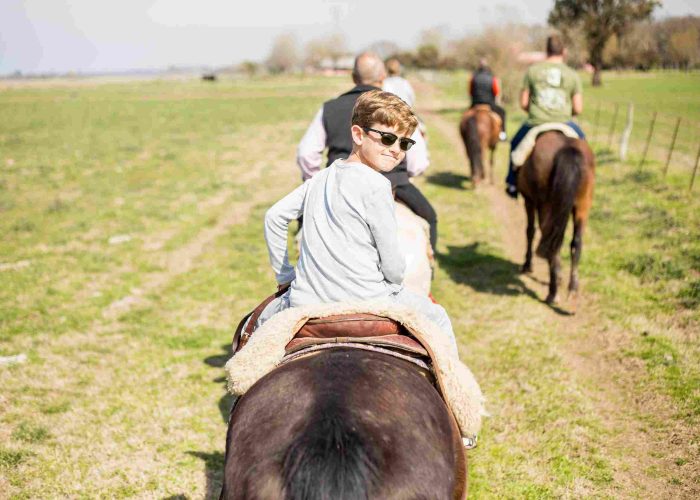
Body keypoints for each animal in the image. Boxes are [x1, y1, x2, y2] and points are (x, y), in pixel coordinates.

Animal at [516, 131, 592, 306]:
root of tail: (568, 149)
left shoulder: (529, 201)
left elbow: (529, 231)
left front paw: (527, 265)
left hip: (546, 206)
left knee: (552, 245)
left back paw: (553, 292)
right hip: (583, 205)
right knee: (575, 242)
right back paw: (572, 289)